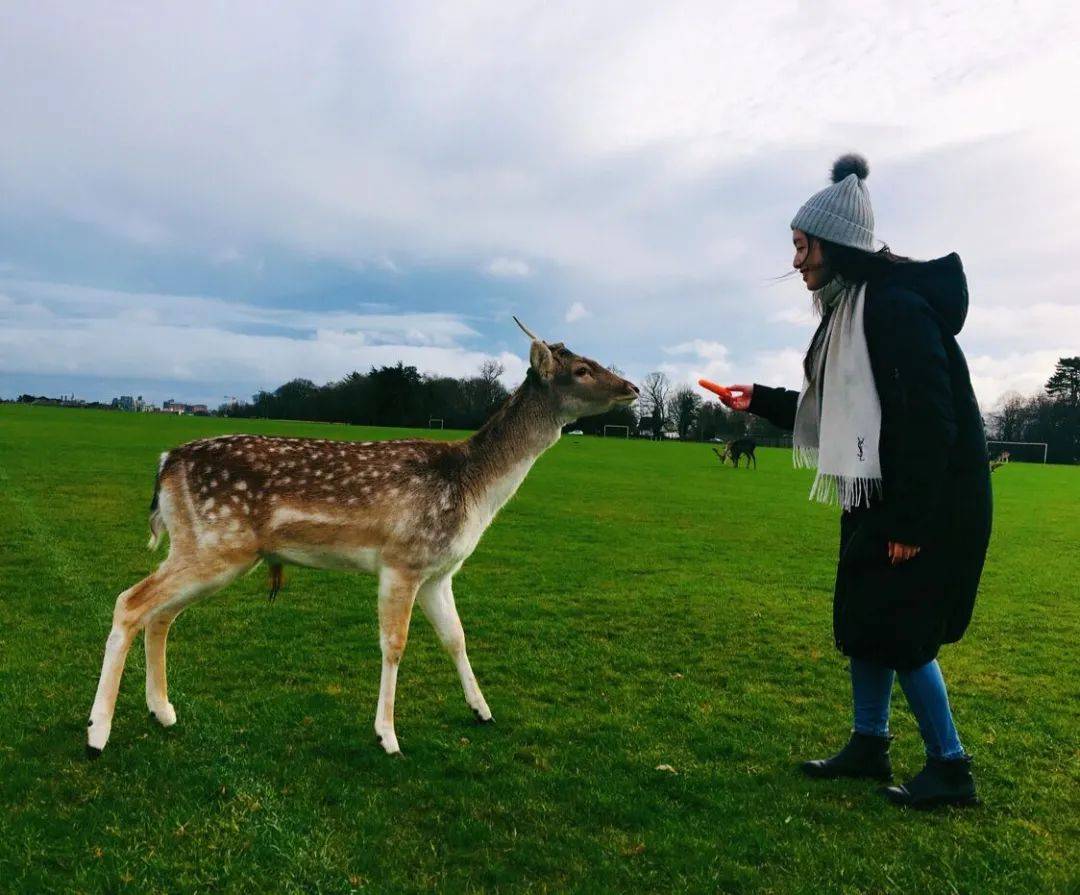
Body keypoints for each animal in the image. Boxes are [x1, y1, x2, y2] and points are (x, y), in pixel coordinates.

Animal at [90, 317, 639, 755]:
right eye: (582, 369)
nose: (632, 387)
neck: (472, 490)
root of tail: (165, 463)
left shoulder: (440, 572)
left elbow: (456, 637)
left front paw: (482, 710)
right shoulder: (402, 560)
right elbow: (394, 644)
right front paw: (388, 736)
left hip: (209, 550)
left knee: (161, 615)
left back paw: (163, 711)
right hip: (215, 545)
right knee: (130, 603)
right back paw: (98, 733)